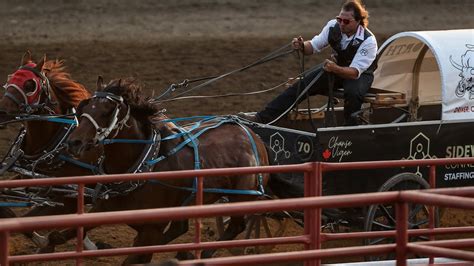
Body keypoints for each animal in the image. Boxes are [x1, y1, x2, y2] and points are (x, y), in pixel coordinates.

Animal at [0, 52, 100, 251]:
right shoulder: (24, 176)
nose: (1, 112)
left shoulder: (69, 194)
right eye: (9, 79)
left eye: (30, 85)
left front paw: (45, 241)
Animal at [60, 77, 270, 264]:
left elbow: (135, 258)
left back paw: (203, 254)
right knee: (180, 227)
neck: (144, 164)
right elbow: (63, 233)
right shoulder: (106, 207)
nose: (74, 142)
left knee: (236, 226)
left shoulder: (152, 227)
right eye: (86, 107)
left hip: (241, 198)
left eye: (108, 111)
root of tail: (254, 137)